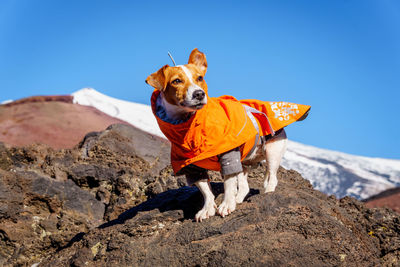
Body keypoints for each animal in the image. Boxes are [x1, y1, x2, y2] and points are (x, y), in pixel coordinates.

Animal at [146, 48, 310, 222]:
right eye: (176, 81)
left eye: (200, 78)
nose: (199, 94)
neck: (189, 126)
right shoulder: (191, 167)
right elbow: (205, 190)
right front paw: (207, 209)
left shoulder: (228, 155)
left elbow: (228, 183)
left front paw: (226, 205)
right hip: (244, 163)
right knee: (244, 186)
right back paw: (238, 199)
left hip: (273, 152)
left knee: (272, 177)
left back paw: (267, 193)